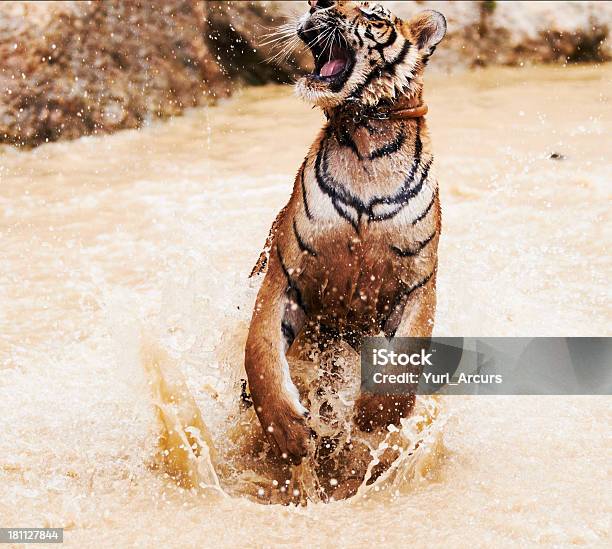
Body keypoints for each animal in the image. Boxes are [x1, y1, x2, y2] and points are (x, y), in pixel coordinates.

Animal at [243, 0, 444, 462]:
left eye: (371, 14)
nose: (318, 3)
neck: (367, 139)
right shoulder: (286, 273)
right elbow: (259, 352)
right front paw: (288, 433)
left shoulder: (418, 282)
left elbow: (407, 352)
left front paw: (373, 417)